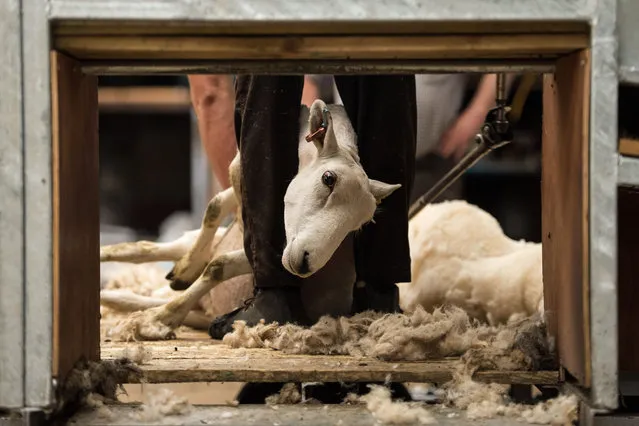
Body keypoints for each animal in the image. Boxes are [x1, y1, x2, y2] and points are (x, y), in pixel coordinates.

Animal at [101, 98, 544, 342]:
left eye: (359, 226)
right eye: (328, 179)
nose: (306, 262)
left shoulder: (268, 249)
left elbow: (219, 264)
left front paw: (160, 317)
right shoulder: (241, 185)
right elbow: (214, 205)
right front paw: (184, 272)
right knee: (144, 247)